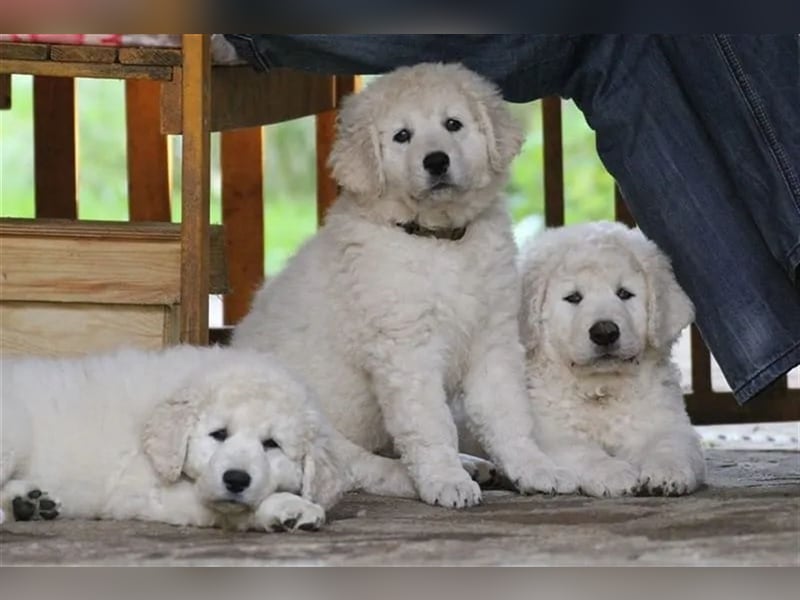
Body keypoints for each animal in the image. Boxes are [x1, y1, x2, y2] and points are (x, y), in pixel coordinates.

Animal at [0, 346, 412, 528]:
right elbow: (230, 510)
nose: (236, 479)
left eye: (272, 445)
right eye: (219, 434)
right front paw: (286, 507)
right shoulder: (142, 490)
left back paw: (28, 502)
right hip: (13, 434)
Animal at [231, 63, 576, 508]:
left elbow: (508, 414)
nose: (437, 161)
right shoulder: (407, 349)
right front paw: (445, 480)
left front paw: (536, 468)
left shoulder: (492, 339)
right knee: (358, 468)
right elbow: (430, 424)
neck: (438, 241)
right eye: (402, 136)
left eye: (453, 124)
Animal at [516, 223, 704, 500]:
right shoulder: (551, 434)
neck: (602, 389)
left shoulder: (667, 419)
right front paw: (614, 474)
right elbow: (583, 451)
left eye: (624, 294)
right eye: (574, 297)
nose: (604, 332)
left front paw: (667, 472)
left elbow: (670, 443)